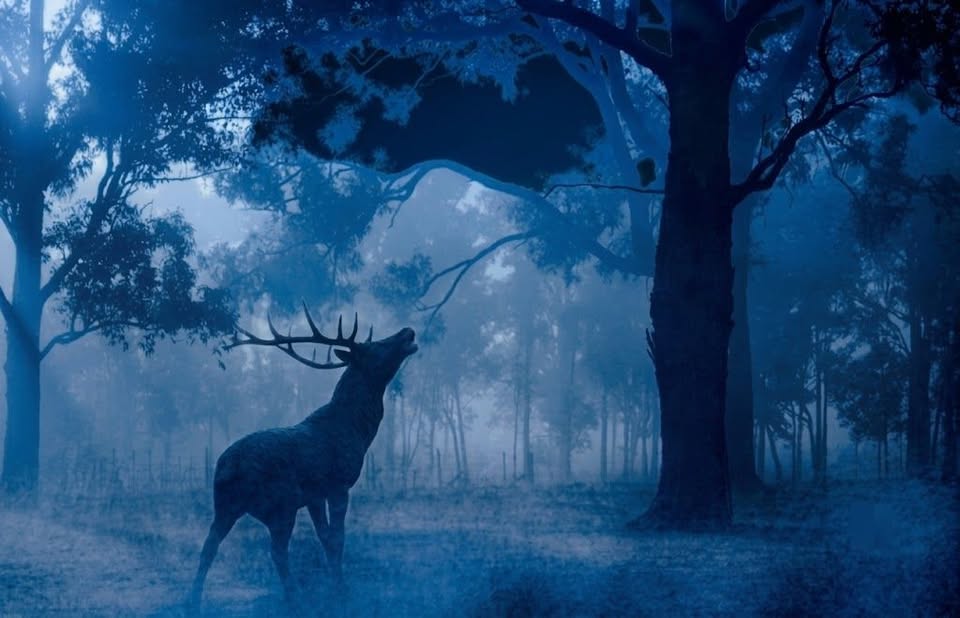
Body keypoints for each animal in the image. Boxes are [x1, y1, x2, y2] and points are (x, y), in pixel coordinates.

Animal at [189, 304, 417, 606]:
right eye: (375, 346)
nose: (408, 331)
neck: (357, 430)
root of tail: (229, 468)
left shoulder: (314, 495)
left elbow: (325, 538)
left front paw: (336, 584)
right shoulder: (338, 483)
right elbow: (337, 539)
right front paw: (341, 591)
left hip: (224, 505)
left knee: (209, 545)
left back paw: (192, 600)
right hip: (279, 504)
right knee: (276, 551)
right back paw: (293, 596)